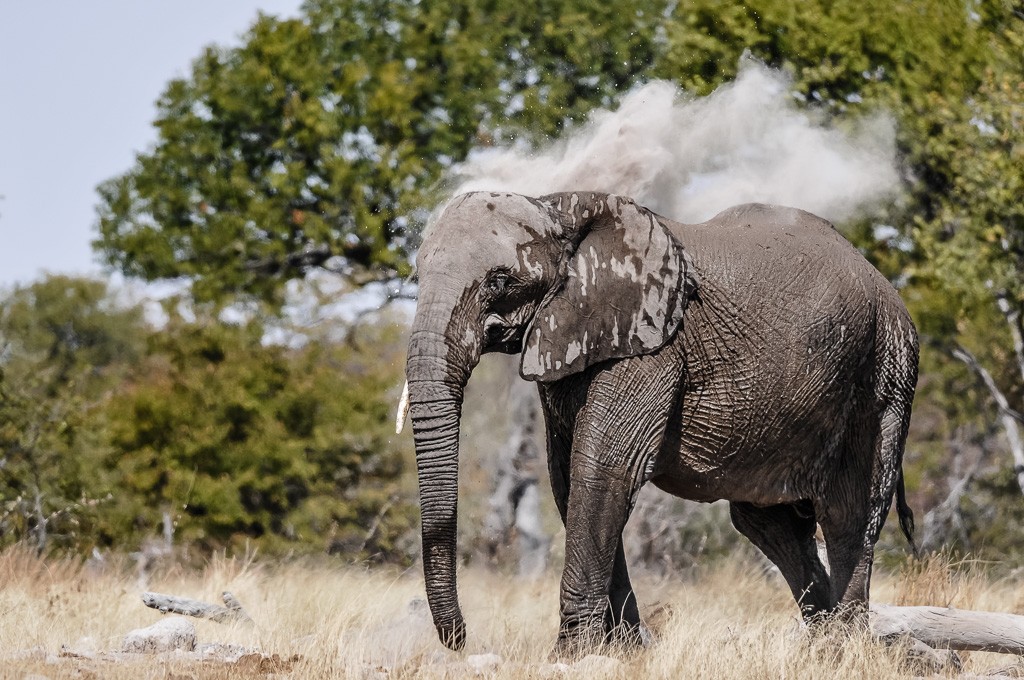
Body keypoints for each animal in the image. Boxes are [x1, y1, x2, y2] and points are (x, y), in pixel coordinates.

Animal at [401, 189, 921, 655]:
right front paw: (627, 651)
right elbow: (567, 478)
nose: (461, 640)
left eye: (499, 281)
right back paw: (822, 643)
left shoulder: (651, 346)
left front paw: (572, 655)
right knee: (771, 525)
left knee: (849, 514)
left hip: (887, 371)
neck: (558, 208)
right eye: (417, 275)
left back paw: (846, 650)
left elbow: (603, 470)